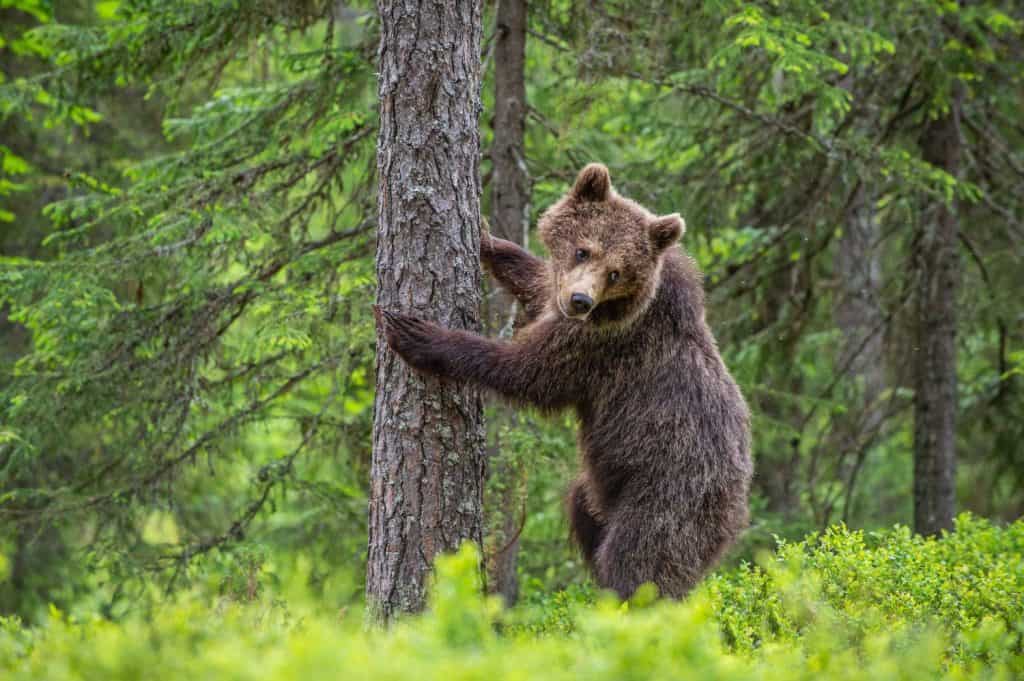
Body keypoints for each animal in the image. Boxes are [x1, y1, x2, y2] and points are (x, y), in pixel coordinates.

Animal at [376, 163, 752, 599]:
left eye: (616, 272)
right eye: (582, 250)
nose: (580, 300)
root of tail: (737, 512)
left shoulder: (600, 345)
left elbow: (527, 371)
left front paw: (418, 334)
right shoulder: (565, 303)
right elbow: (537, 281)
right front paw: (486, 238)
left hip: (670, 496)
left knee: (640, 563)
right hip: (605, 490)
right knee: (582, 510)